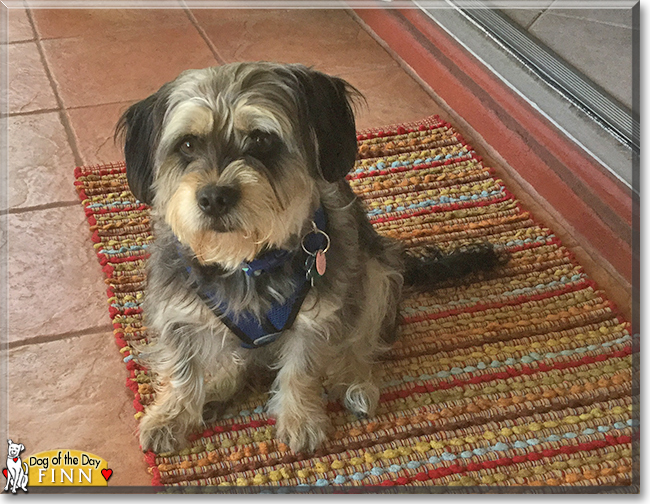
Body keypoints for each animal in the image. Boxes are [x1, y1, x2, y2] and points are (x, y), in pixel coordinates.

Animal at [116, 62, 502, 452]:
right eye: (188, 144)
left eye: (262, 140)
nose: (213, 198)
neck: (249, 262)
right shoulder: (177, 310)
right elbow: (181, 368)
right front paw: (171, 416)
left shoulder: (317, 315)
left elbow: (302, 369)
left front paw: (300, 418)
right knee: (238, 361)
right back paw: (217, 387)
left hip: (375, 275)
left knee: (361, 342)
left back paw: (356, 382)